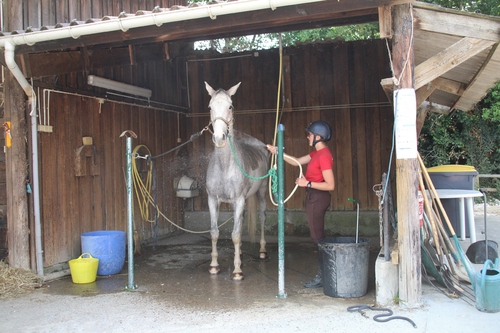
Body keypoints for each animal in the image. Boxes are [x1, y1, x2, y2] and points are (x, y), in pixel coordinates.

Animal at [205, 81, 272, 278]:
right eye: (210, 107)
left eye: (230, 106)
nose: (219, 138)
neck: (225, 166)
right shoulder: (213, 200)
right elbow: (215, 232)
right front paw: (214, 266)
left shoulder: (240, 200)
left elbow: (234, 234)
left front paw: (237, 271)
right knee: (240, 223)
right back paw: (240, 252)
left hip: (261, 193)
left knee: (262, 217)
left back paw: (262, 251)